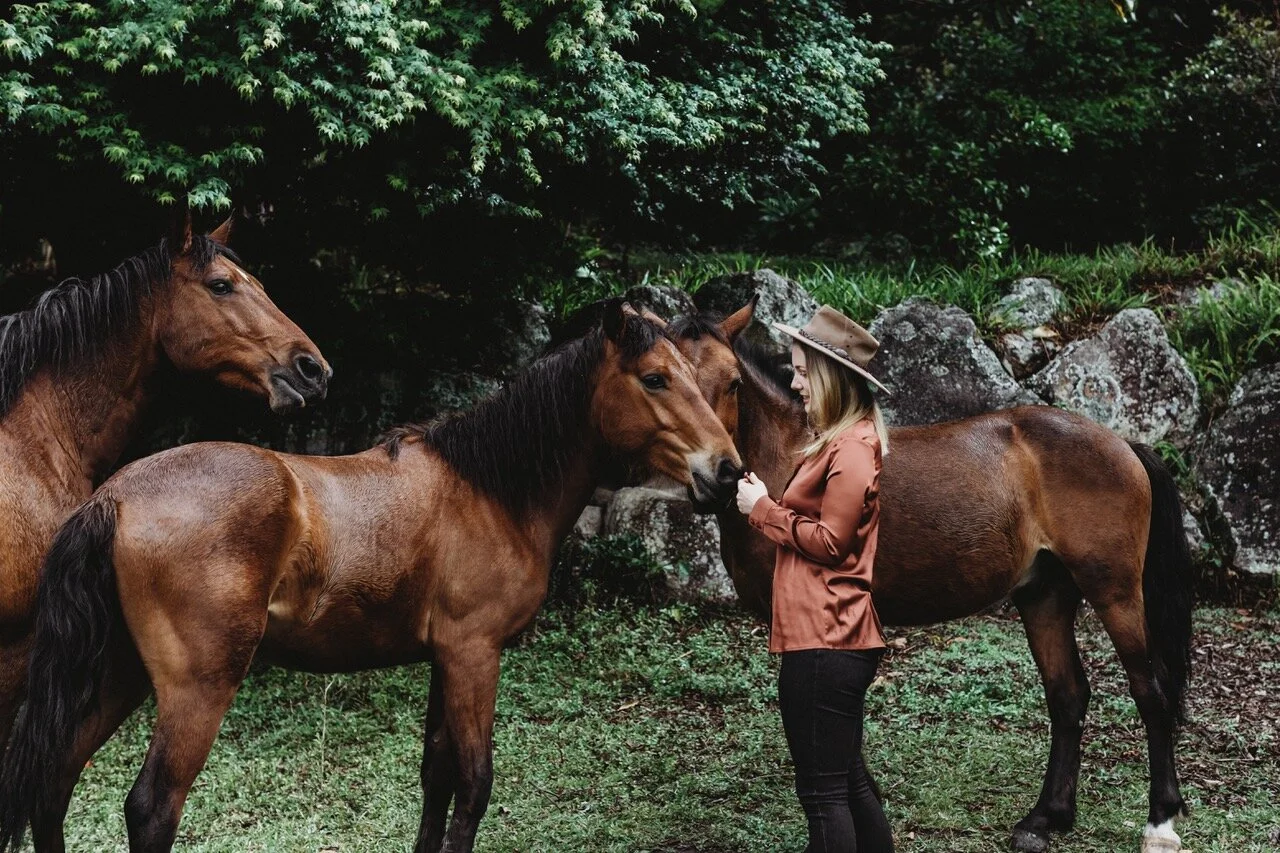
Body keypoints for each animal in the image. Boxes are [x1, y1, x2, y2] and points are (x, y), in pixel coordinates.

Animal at [0, 302, 741, 853]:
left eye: (719, 380)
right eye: (654, 377)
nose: (726, 470)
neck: (490, 487)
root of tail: (113, 497)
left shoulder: (446, 659)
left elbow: (437, 778)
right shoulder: (475, 655)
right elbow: (475, 785)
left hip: (117, 673)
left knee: (52, 783)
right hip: (194, 689)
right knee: (152, 807)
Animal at [664, 299, 1194, 853]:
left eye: (732, 382)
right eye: (662, 384)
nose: (716, 477)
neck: (793, 454)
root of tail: (1123, 443)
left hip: (1115, 594)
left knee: (1151, 692)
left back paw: (1160, 822)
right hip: (1045, 596)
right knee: (1068, 696)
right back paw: (1046, 817)